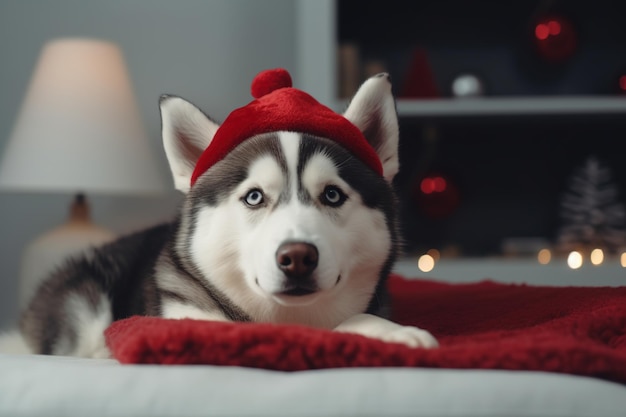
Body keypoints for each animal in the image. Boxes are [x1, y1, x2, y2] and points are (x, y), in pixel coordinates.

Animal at [1, 70, 434, 356]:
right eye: (254, 197)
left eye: (332, 195)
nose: (297, 257)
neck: (288, 318)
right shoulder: (183, 316)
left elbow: (350, 322)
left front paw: (391, 332)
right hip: (84, 302)